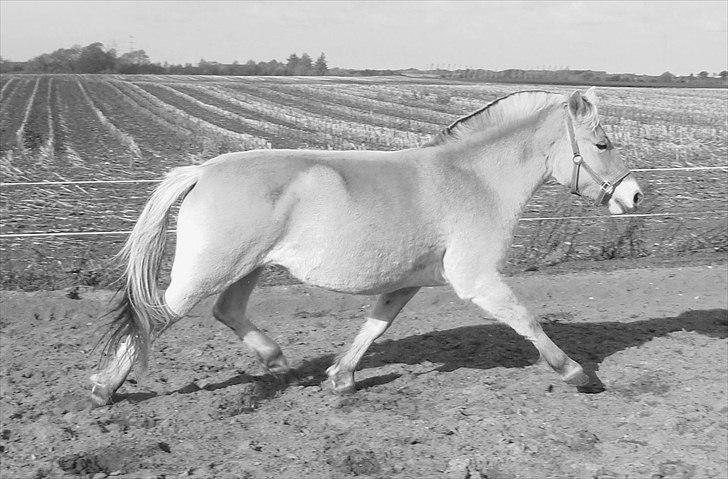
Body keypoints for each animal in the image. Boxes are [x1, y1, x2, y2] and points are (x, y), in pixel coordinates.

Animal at [89, 87, 644, 404]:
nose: (635, 195)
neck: (474, 179)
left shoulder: (408, 283)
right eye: (602, 144)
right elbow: (526, 319)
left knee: (226, 311)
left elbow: (375, 326)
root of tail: (201, 171)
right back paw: (103, 389)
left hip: (248, 268)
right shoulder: (476, 278)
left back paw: (278, 361)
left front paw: (341, 378)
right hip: (207, 271)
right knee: (155, 314)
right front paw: (577, 373)